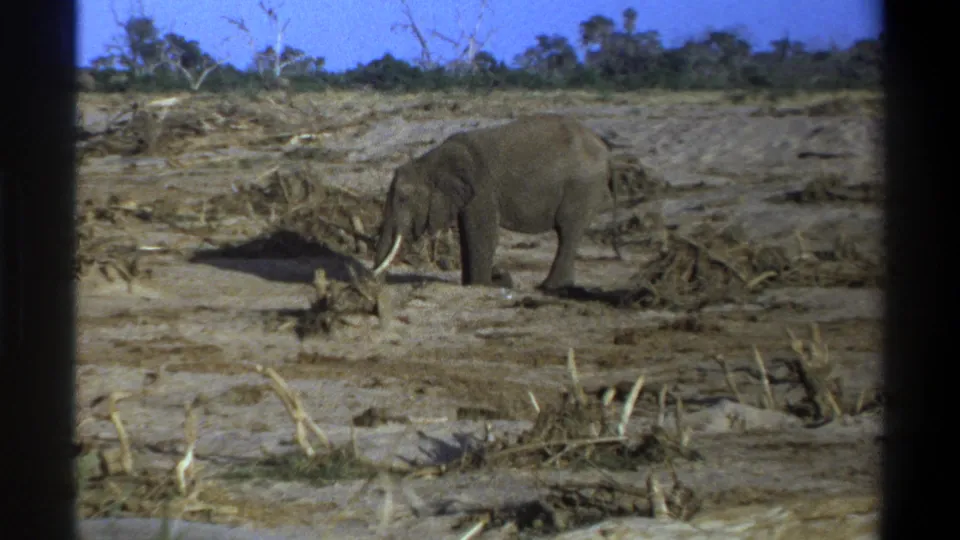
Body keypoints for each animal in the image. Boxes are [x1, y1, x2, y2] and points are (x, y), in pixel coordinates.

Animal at [369, 114, 622, 291]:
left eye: (403, 198)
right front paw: (476, 283)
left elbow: (482, 232)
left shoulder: (481, 186)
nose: (377, 283)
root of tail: (607, 151)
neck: (428, 161)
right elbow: (467, 233)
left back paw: (549, 287)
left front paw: (484, 285)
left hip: (582, 186)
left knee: (568, 230)